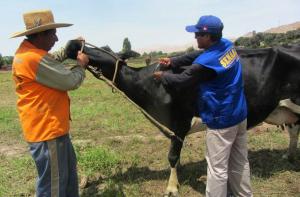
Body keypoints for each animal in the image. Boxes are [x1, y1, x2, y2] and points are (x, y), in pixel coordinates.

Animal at [65, 40, 300, 196]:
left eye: (104, 50)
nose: (72, 43)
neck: (148, 84)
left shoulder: (179, 120)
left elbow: (171, 156)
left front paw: (171, 187)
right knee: (294, 131)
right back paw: (288, 155)